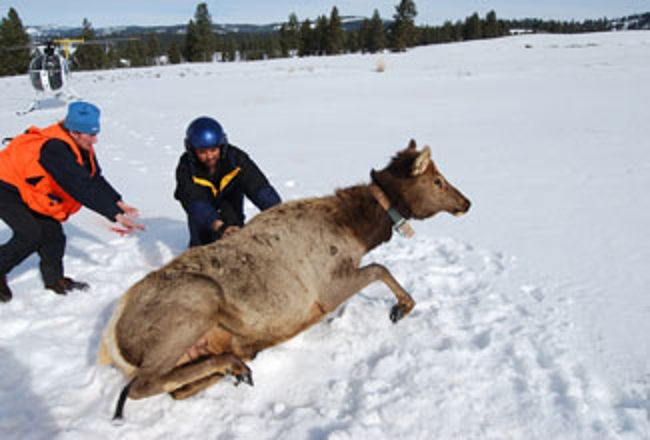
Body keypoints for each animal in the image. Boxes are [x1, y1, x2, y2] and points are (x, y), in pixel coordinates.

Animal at [97, 139, 470, 418]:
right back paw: (233, 365)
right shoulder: (328, 288)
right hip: (198, 300)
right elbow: (380, 268)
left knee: (176, 389)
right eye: (437, 180)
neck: (358, 230)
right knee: (140, 386)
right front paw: (401, 307)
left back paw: (235, 366)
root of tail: (111, 341)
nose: (466, 202)